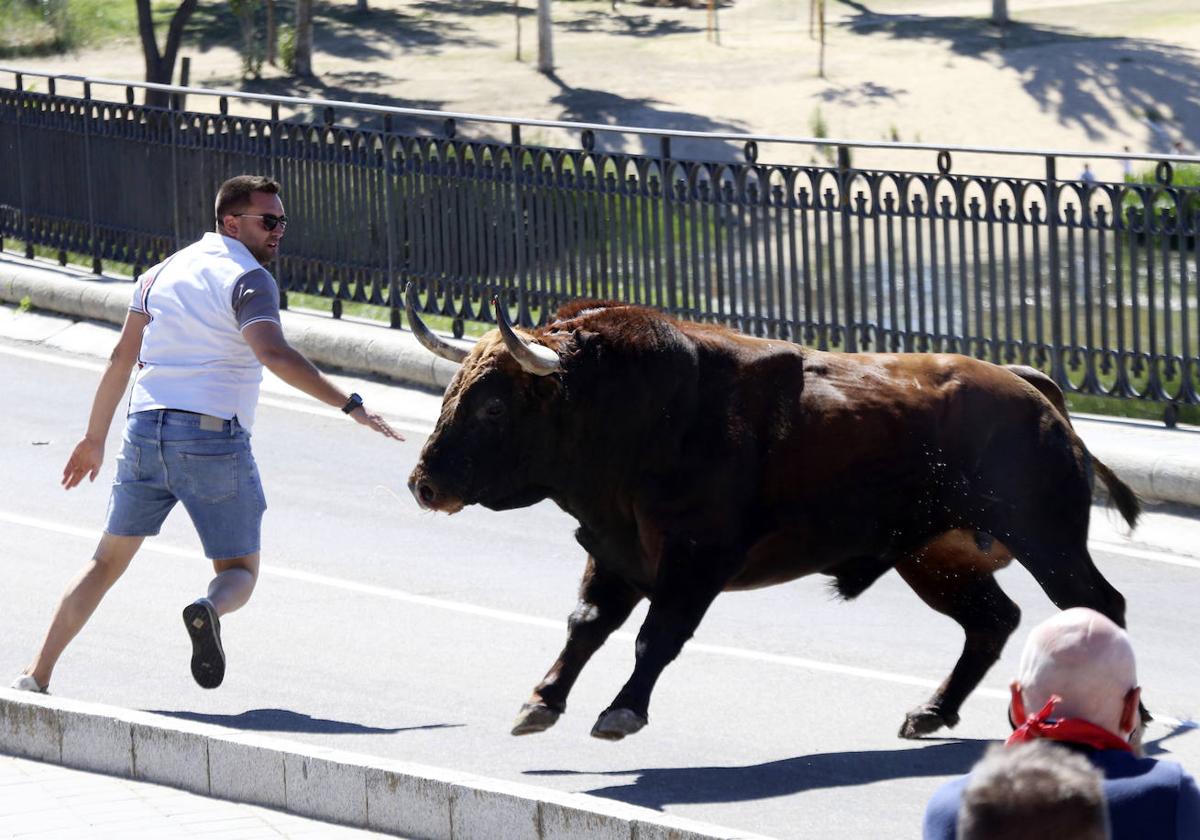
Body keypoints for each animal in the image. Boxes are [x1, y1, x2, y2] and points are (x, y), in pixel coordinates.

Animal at [403, 286, 1132, 739]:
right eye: (453, 392)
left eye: (493, 405)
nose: (422, 484)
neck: (647, 410)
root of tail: (1029, 388)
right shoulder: (613, 551)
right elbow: (586, 625)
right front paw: (541, 701)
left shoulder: (696, 561)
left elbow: (655, 637)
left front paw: (621, 712)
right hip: (933, 559)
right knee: (993, 620)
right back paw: (928, 712)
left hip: (1047, 542)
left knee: (1099, 605)